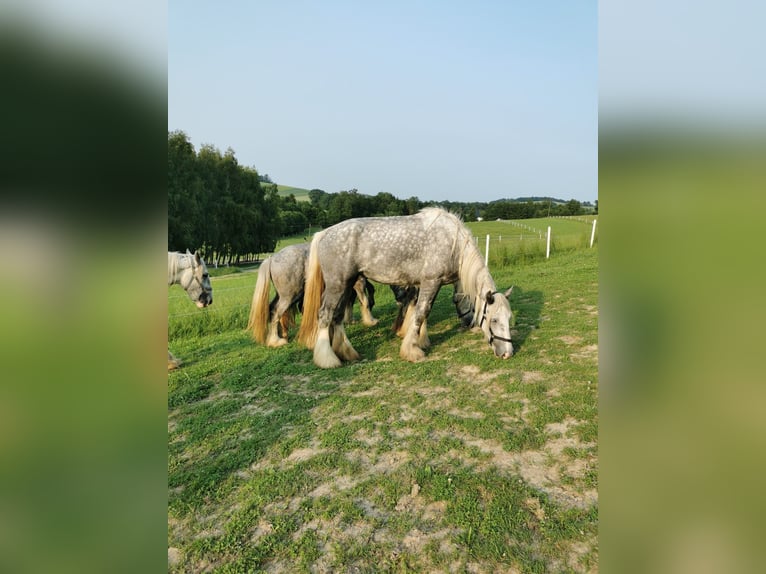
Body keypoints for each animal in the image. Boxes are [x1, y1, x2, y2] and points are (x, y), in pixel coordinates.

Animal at [247, 243, 377, 348]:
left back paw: (281, 335)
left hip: (284, 295)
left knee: (271, 309)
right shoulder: (359, 282)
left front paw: (350, 319)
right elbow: (364, 300)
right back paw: (276, 341)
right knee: (276, 312)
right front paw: (370, 320)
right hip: (291, 296)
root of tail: (272, 258)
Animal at [297, 208, 513, 368]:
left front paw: (421, 340)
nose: (507, 354)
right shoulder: (431, 282)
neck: (453, 243)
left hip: (347, 284)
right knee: (325, 315)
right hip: (337, 285)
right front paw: (412, 350)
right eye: (494, 320)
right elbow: (421, 313)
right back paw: (327, 359)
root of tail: (324, 233)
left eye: (509, 318)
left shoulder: (429, 284)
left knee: (338, 316)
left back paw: (346, 352)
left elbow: (423, 312)